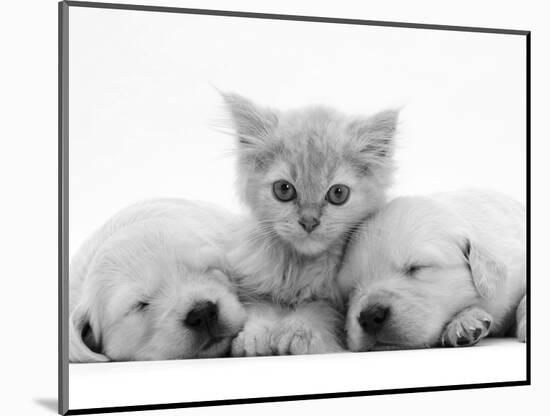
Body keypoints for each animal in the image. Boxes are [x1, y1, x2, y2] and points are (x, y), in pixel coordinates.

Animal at [224, 94, 402, 358]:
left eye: (338, 193)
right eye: (283, 189)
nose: (309, 221)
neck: (301, 268)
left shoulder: (335, 305)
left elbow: (316, 312)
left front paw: (297, 333)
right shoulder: (254, 288)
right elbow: (262, 310)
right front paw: (254, 337)